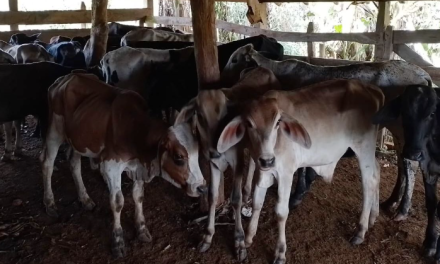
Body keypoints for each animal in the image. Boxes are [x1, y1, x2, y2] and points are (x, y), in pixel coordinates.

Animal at [40, 72, 207, 258]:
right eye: (179, 157)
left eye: (197, 154)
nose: (202, 188)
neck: (135, 130)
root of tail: (66, 77)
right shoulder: (110, 166)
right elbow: (118, 202)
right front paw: (118, 241)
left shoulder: (139, 166)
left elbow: (138, 196)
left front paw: (141, 229)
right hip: (54, 130)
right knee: (47, 164)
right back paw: (50, 203)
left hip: (78, 139)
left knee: (74, 164)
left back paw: (85, 199)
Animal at [175, 66, 282, 260]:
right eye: (199, 115)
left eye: (225, 115)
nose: (215, 150)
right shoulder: (212, 162)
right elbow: (212, 196)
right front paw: (207, 236)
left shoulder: (237, 161)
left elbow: (235, 198)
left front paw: (239, 241)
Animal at [218, 79, 384, 262]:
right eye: (249, 123)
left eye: (277, 123)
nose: (267, 160)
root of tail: (371, 89)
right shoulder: (263, 171)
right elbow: (257, 203)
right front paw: (248, 237)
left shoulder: (285, 173)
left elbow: (281, 212)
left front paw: (280, 253)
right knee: (377, 171)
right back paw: (373, 217)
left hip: (364, 147)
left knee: (369, 181)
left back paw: (360, 230)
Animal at [223, 43, 434, 221]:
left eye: (235, 59)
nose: (222, 76)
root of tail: (422, 73)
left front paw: (298, 193)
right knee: (402, 162)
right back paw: (391, 201)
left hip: (403, 128)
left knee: (410, 165)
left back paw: (402, 209)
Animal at [372, 85, 440, 260]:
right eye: (404, 112)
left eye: (432, 113)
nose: (413, 153)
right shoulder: (428, 167)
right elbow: (432, 204)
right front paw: (430, 243)